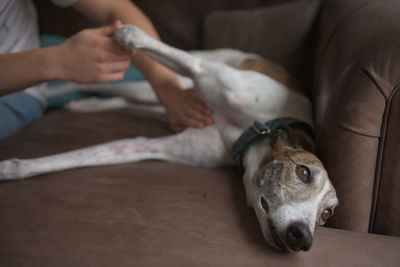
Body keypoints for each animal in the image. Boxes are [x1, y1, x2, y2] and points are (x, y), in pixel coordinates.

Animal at [0, 25, 338, 253]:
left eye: (327, 215)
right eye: (303, 172)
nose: (303, 238)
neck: (258, 128)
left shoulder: (154, 146)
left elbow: (90, 154)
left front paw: (14, 167)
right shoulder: (205, 72)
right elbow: (174, 55)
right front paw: (128, 34)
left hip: (172, 96)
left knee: (136, 100)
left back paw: (86, 105)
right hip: (181, 79)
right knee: (101, 83)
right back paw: (59, 92)